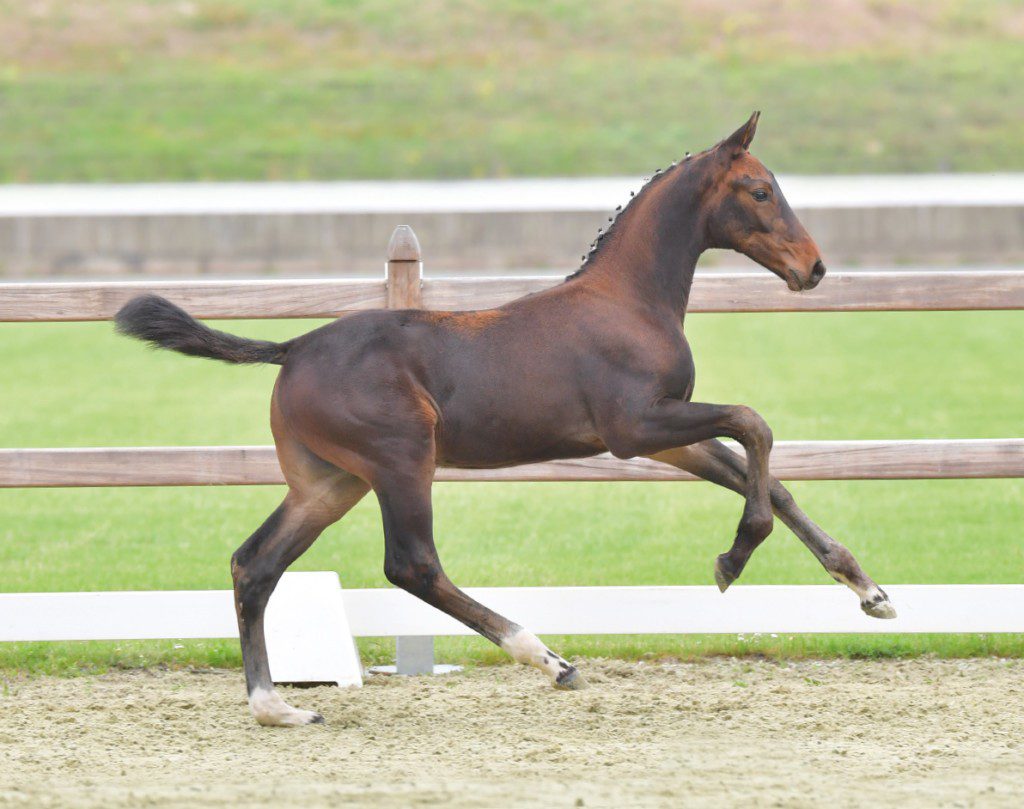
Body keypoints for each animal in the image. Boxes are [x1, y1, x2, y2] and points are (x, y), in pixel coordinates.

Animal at [114, 114, 897, 729]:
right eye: (761, 190)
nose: (814, 268)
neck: (627, 300)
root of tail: (294, 347)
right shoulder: (635, 429)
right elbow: (753, 424)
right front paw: (733, 560)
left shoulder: (665, 437)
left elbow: (764, 475)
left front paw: (870, 592)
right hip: (402, 462)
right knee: (411, 564)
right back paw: (548, 658)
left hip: (329, 483)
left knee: (256, 564)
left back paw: (276, 705)